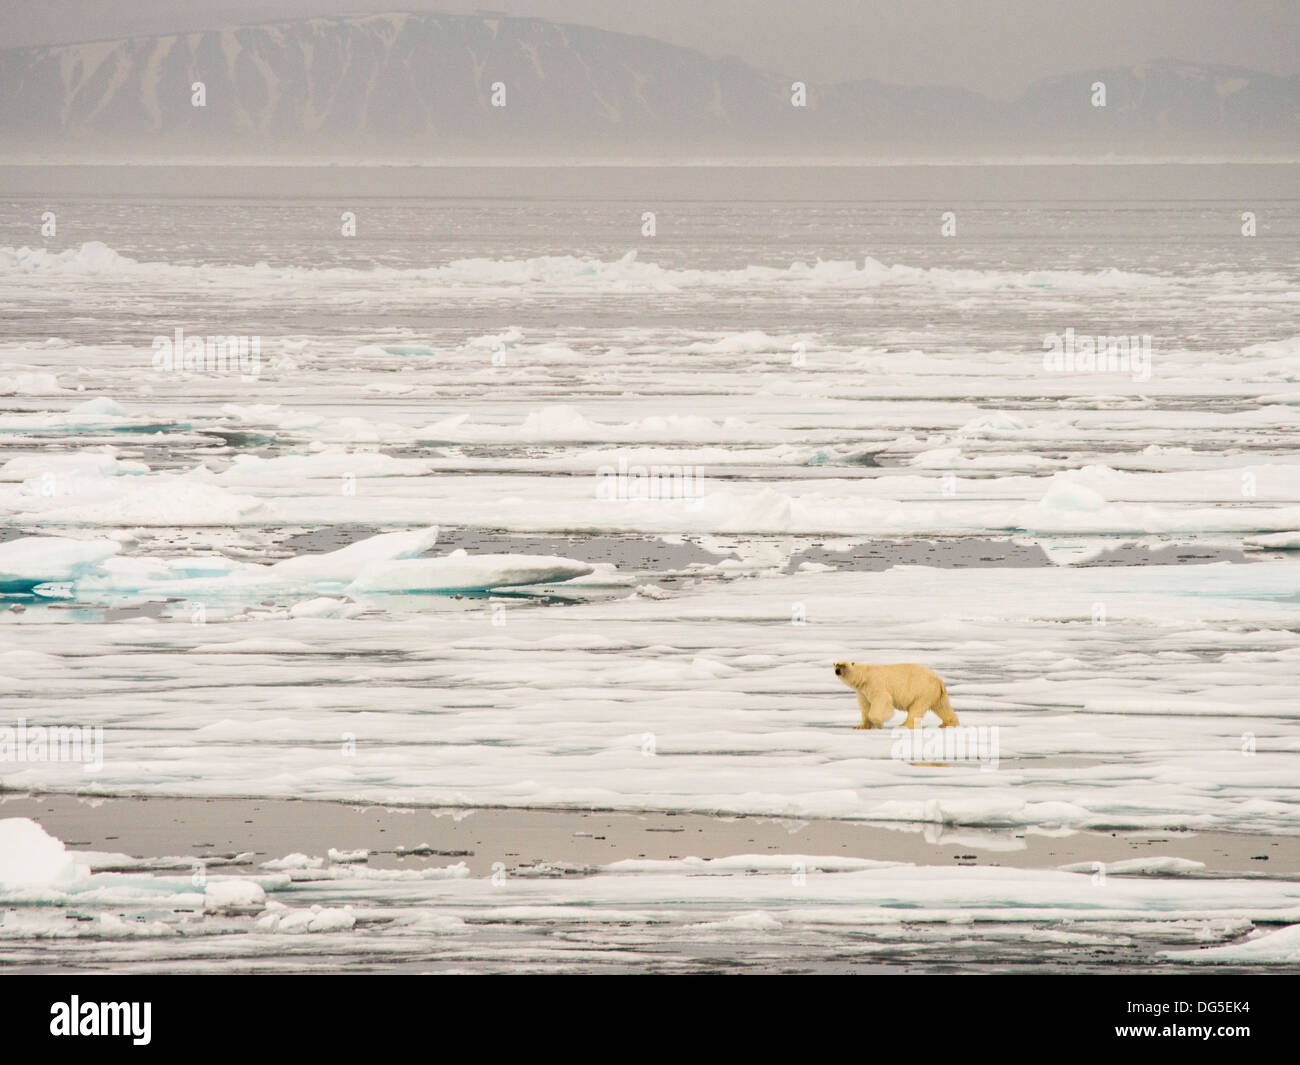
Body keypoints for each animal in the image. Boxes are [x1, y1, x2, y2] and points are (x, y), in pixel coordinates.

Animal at [826, 663, 961, 728]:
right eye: (836, 664)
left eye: (844, 665)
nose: (837, 671)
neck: (864, 675)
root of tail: (938, 679)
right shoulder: (862, 691)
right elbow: (865, 706)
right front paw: (860, 726)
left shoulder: (875, 683)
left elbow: (881, 700)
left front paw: (879, 721)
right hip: (934, 692)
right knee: (942, 707)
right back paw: (948, 723)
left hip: (922, 690)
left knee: (916, 708)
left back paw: (904, 725)